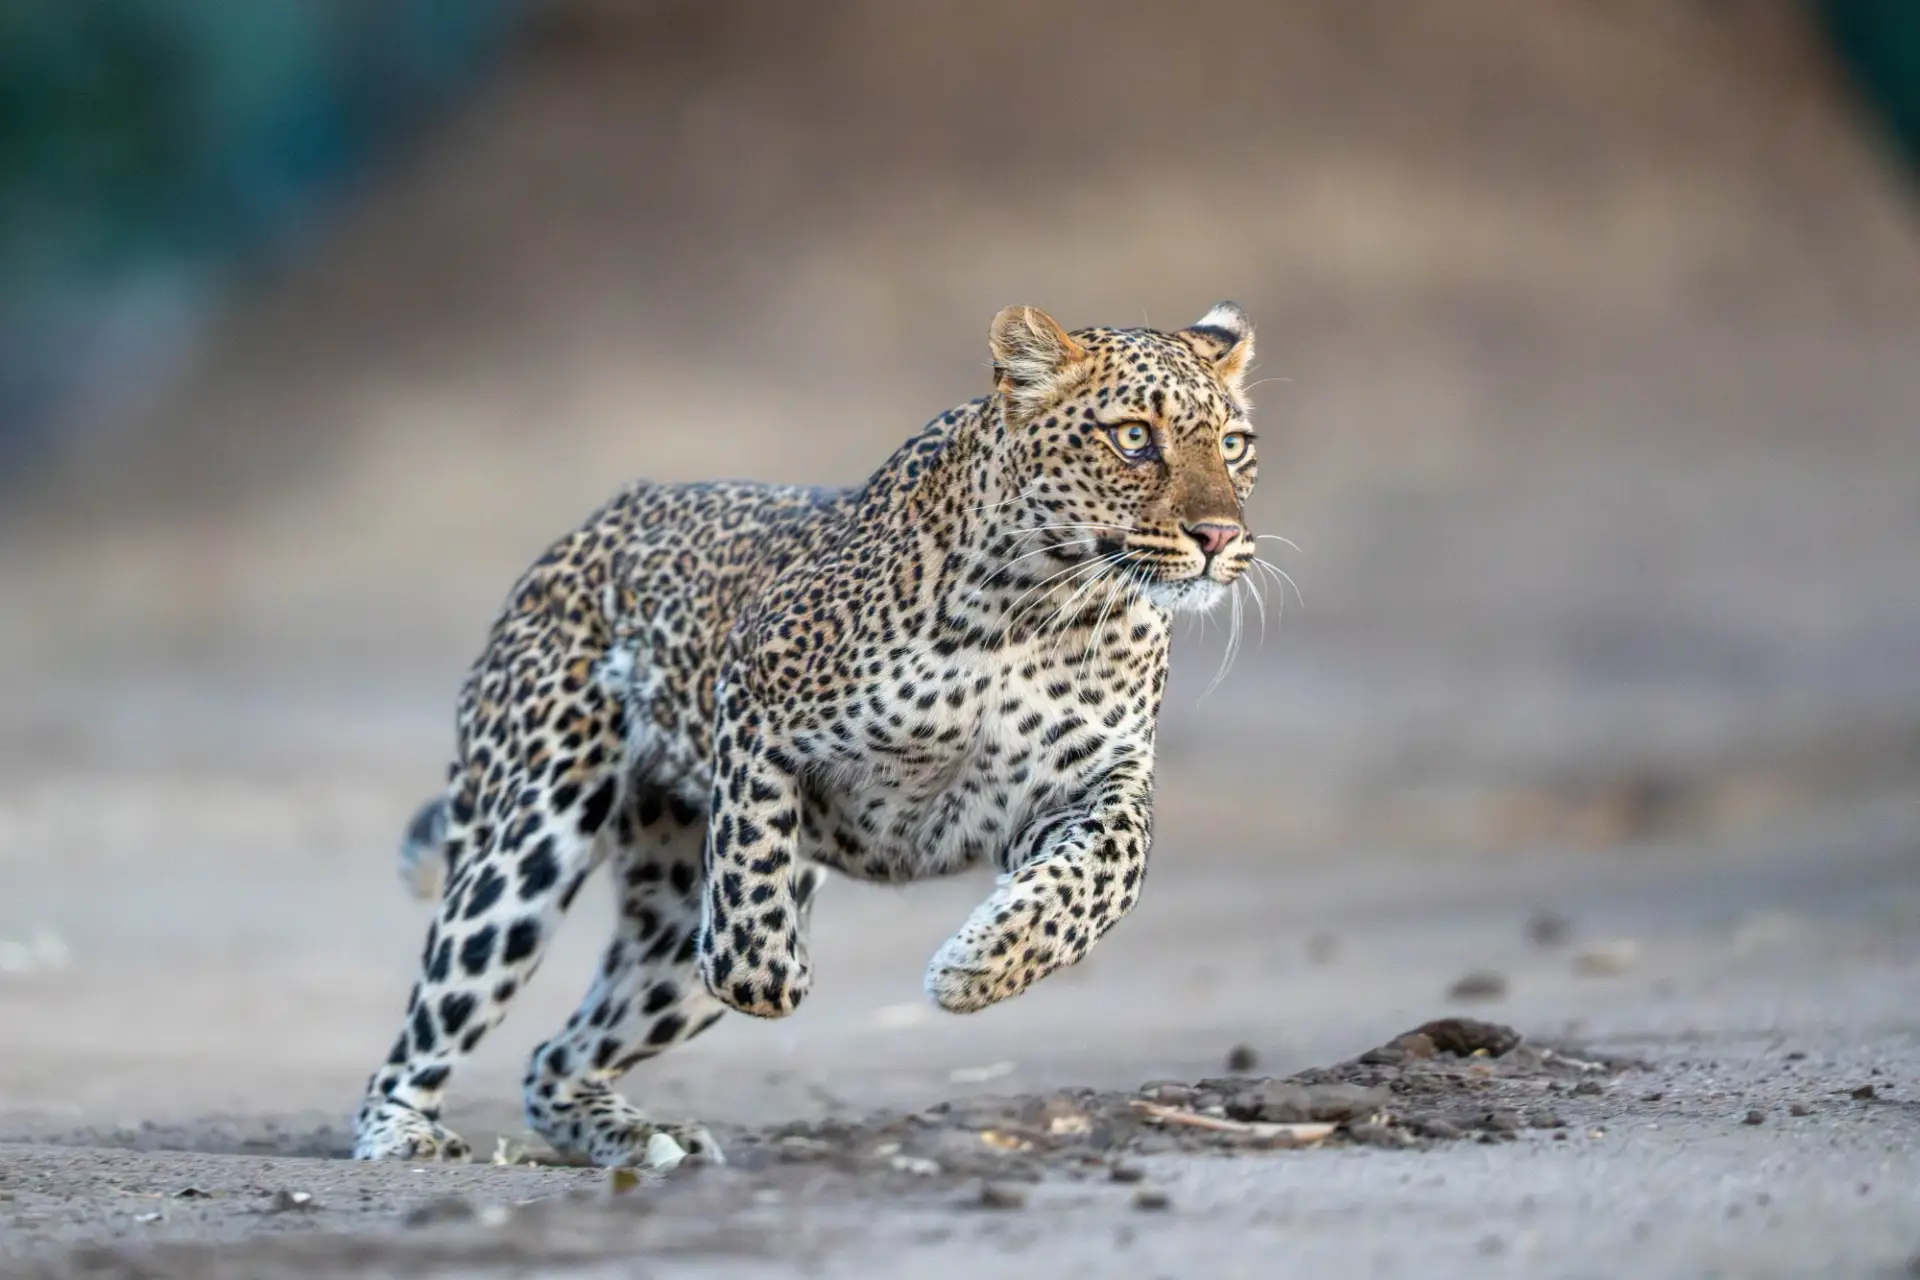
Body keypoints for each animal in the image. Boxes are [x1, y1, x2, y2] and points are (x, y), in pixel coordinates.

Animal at [352, 302, 1264, 1167]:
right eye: (1134, 438)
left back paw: (648, 1141)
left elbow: (1110, 874)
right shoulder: (754, 693)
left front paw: (981, 966)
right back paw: (403, 1132)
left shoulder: (1088, 782)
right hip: (530, 832)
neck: (1048, 611)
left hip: (667, 919)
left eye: (1234, 444)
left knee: (554, 1060)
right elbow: (750, 868)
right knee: (443, 1010)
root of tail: (586, 529)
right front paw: (766, 975)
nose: (1219, 537)